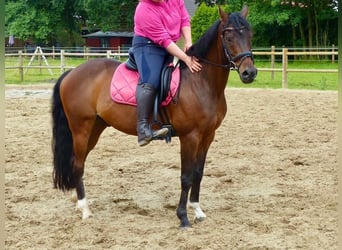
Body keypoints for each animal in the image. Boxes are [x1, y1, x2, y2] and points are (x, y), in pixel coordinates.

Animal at [51, 5, 256, 229]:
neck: (200, 81)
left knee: (76, 162)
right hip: (81, 128)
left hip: (94, 129)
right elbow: (186, 176)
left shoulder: (207, 136)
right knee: (78, 164)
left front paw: (197, 209)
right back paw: (85, 210)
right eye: (228, 37)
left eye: (249, 35)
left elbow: (198, 173)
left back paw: (78, 202)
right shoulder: (190, 137)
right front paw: (183, 217)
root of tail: (71, 73)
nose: (249, 73)